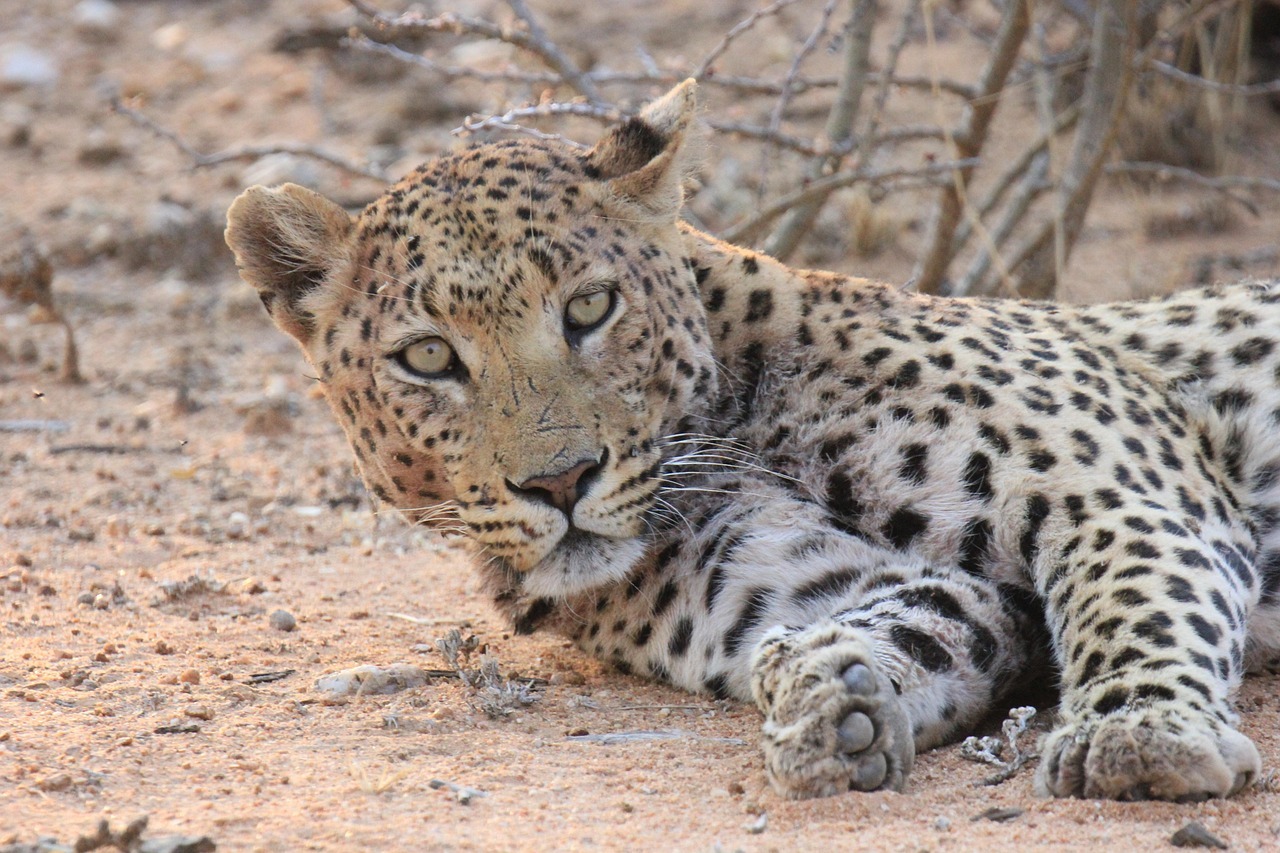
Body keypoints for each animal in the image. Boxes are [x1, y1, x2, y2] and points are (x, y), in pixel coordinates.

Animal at [225, 80, 1280, 802]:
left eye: (591, 308)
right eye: (430, 356)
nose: (562, 481)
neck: (736, 419)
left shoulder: (1115, 485)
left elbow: (1132, 597)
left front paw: (1140, 737)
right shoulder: (811, 585)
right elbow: (926, 618)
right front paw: (835, 699)